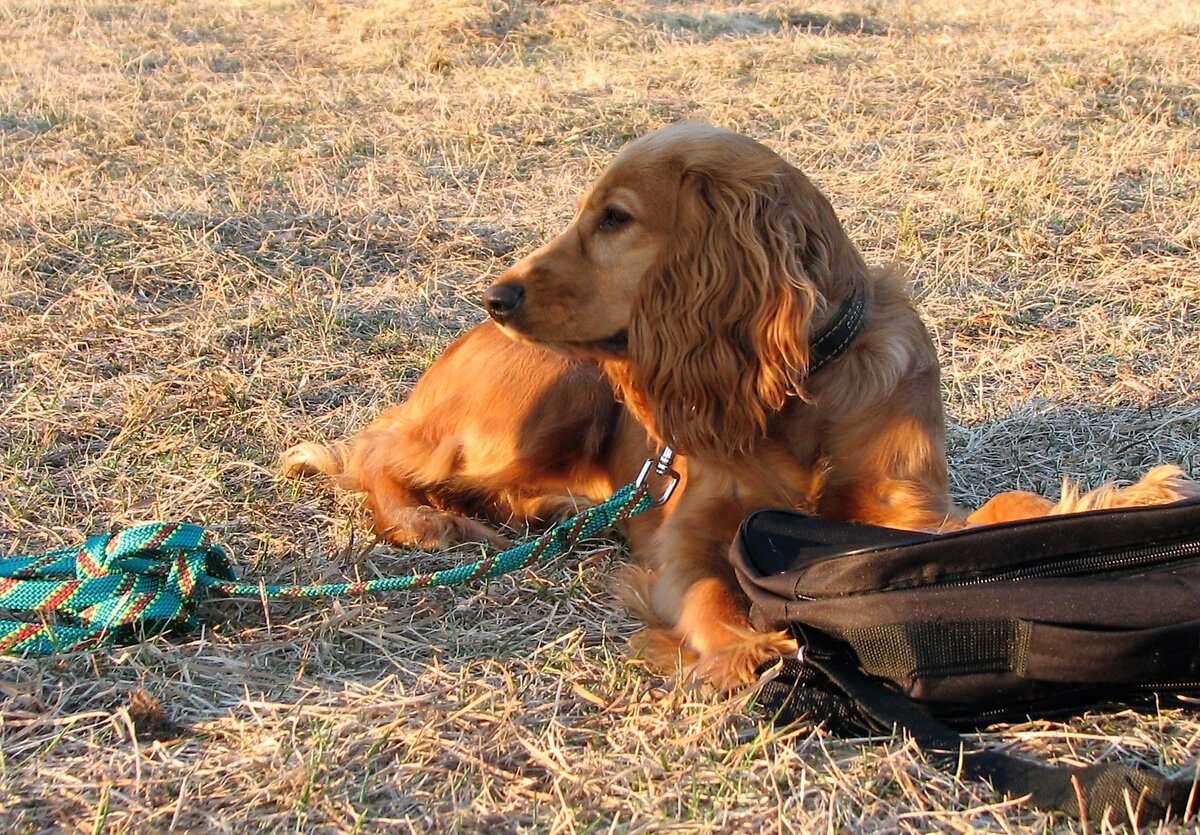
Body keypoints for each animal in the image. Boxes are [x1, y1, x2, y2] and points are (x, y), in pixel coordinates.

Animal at [285, 122, 1195, 686]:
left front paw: (1131, 499)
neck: (802, 386)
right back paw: (428, 519)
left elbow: (1006, 512)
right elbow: (707, 591)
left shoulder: (903, 518)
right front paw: (742, 649)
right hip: (550, 393)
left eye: (616, 218)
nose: (494, 295)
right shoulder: (684, 533)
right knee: (376, 451)